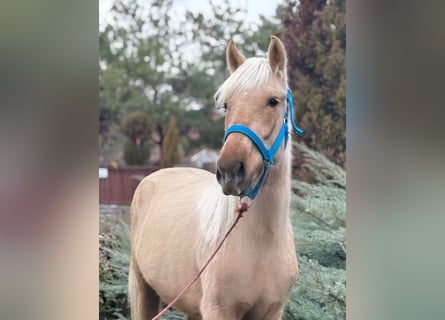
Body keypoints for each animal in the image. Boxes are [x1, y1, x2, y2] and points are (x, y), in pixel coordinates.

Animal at [130, 36, 300, 318]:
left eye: (273, 101)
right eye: (226, 105)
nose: (230, 170)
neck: (263, 242)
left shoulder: (272, 311)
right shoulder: (219, 310)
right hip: (143, 289)